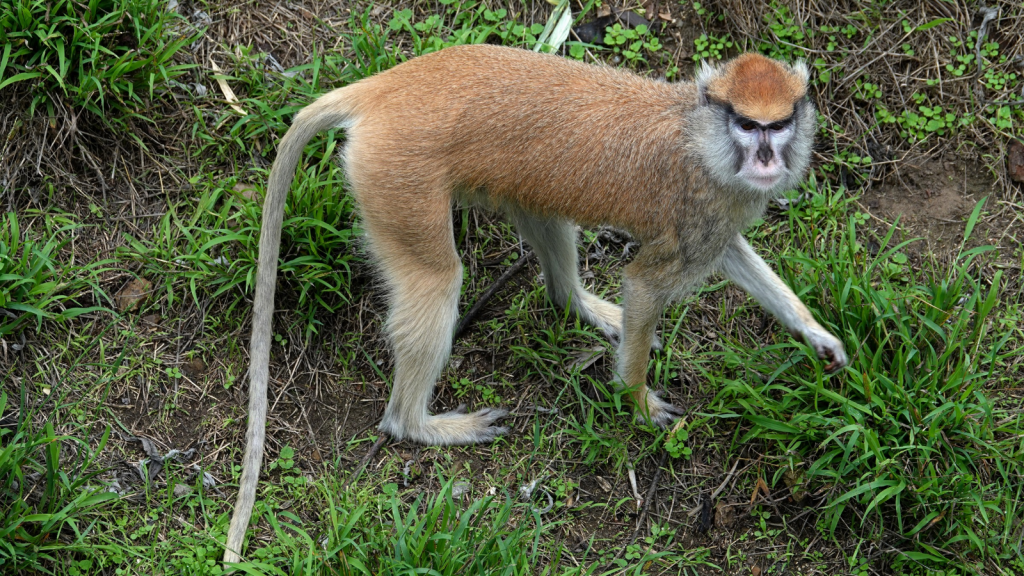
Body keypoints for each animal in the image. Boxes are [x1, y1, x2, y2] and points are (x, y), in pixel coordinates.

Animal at [222, 44, 847, 561]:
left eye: (779, 124)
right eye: (747, 124)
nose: (766, 160)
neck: (698, 134)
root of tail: (387, 86)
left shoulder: (719, 212)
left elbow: (733, 254)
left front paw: (818, 335)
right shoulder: (698, 207)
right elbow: (645, 284)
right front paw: (638, 401)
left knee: (545, 218)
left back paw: (581, 305)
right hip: (397, 180)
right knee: (436, 280)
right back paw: (419, 424)